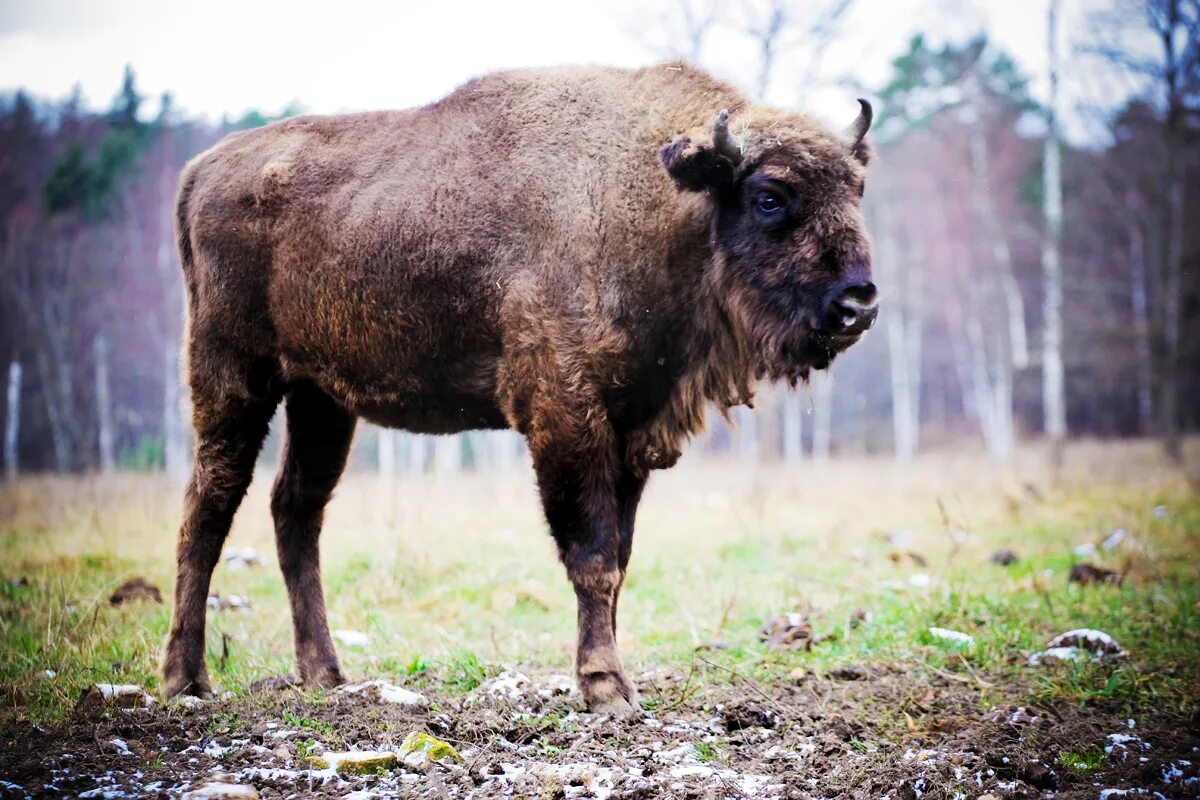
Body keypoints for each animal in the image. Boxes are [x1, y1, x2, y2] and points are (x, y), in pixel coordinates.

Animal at [164, 62, 878, 714]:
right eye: (770, 196)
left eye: (857, 188)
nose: (858, 303)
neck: (648, 196)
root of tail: (200, 170)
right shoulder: (565, 416)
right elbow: (592, 555)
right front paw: (606, 687)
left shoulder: (629, 427)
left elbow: (620, 558)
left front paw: (611, 678)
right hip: (233, 377)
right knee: (209, 507)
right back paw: (186, 680)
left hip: (321, 399)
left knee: (296, 509)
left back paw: (324, 675)